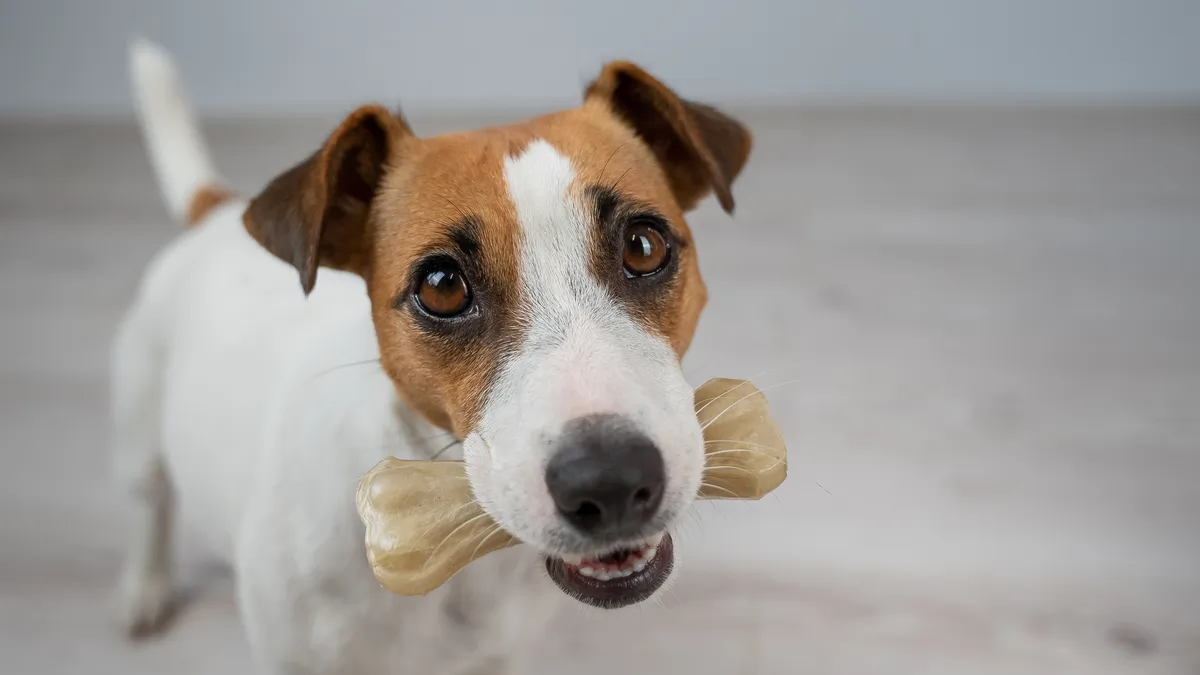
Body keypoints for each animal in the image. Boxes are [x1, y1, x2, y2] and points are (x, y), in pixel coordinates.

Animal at [112, 39, 748, 667]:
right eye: (442, 287)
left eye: (643, 246)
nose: (611, 482)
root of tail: (216, 211)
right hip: (141, 432)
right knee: (151, 507)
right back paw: (144, 590)